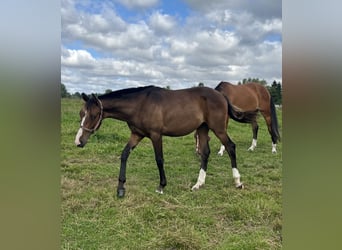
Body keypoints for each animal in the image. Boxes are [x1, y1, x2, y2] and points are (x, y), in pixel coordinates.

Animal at [75, 85, 256, 197]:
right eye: (81, 113)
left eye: (93, 115)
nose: (79, 142)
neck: (140, 104)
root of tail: (221, 96)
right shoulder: (137, 135)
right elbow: (124, 154)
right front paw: (120, 188)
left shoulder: (156, 135)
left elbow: (159, 160)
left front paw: (161, 186)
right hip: (203, 129)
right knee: (205, 153)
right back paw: (198, 184)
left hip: (218, 129)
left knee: (230, 147)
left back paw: (237, 182)